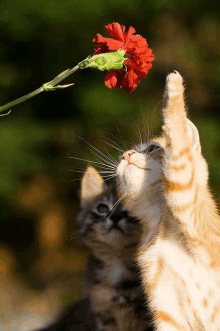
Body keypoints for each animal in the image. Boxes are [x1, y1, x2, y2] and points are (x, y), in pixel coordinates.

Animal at [117, 71, 220, 330]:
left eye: (152, 147)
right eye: (122, 156)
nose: (124, 155)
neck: (159, 222)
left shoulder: (184, 191)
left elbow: (177, 142)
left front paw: (172, 93)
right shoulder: (165, 306)